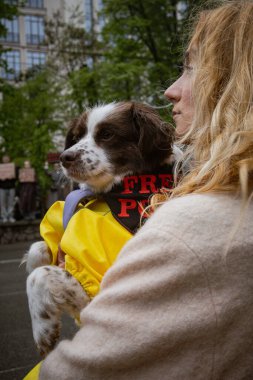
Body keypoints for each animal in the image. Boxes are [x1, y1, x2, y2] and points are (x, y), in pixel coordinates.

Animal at [23, 101, 180, 356]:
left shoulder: (102, 291)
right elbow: (40, 249)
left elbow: (39, 276)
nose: (65, 157)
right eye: (76, 136)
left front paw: (43, 331)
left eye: (107, 134)